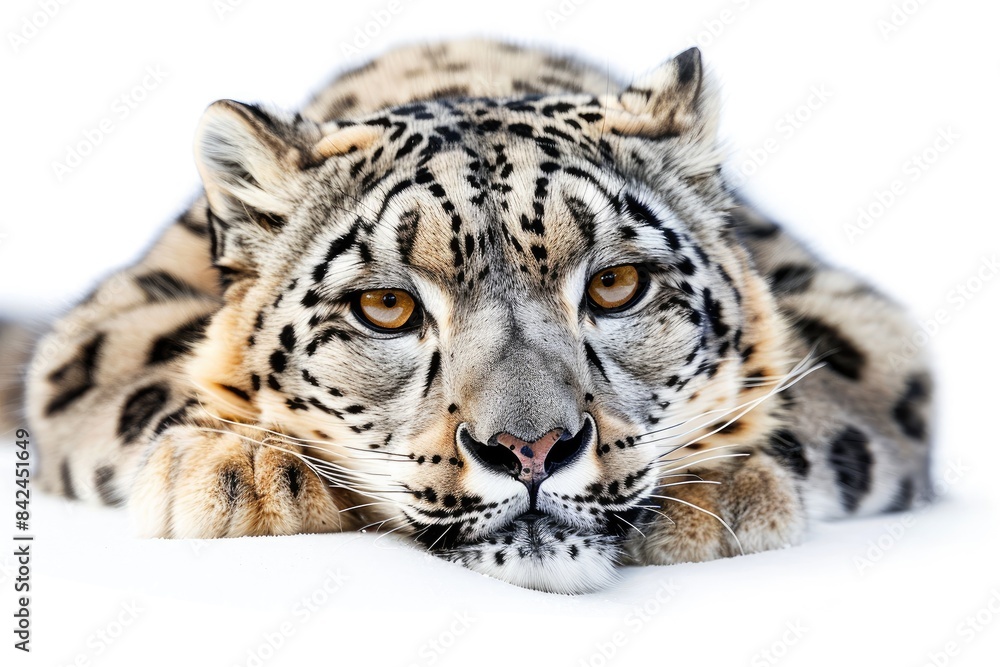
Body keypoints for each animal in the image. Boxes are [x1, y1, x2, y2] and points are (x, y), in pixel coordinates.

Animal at [9, 39, 933, 594]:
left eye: (616, 284)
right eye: (386, 305)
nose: (531, 450)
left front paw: (710, 482)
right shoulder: (116, 314)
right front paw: (239, 472)